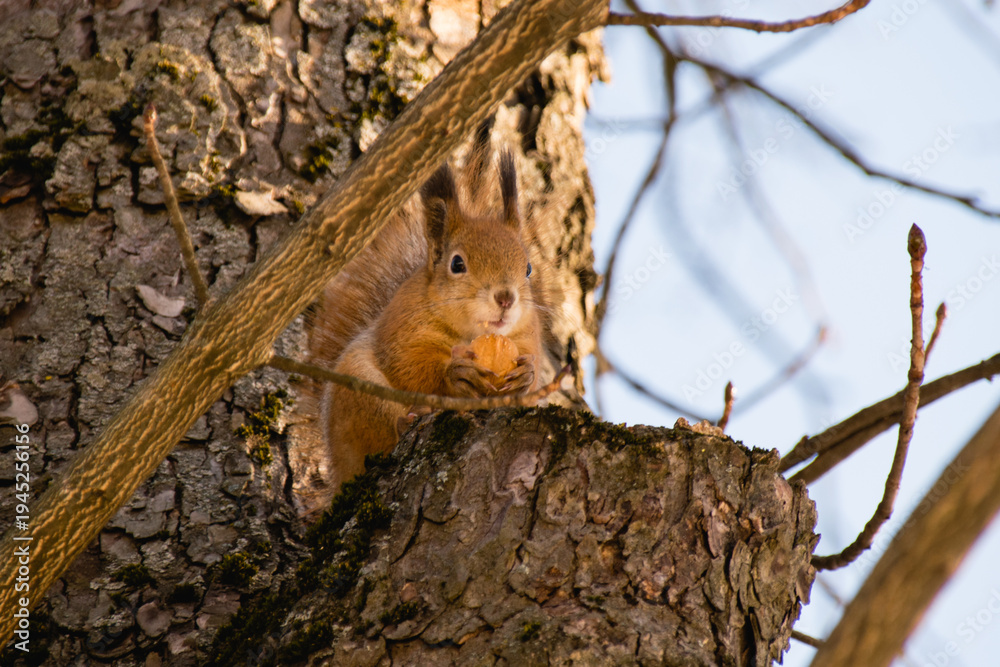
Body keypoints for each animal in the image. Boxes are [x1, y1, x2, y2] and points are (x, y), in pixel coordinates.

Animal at [291, 123, 553, 516]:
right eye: (457, 264)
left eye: (528, 268)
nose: (506, 298)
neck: (474, 333)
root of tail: (337, 474)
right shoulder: (403, 326)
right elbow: (410, 366)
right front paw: (455, 374)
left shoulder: (525, 335)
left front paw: (526, 375)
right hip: (359, 391)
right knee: (382, 429)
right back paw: (406, 421)